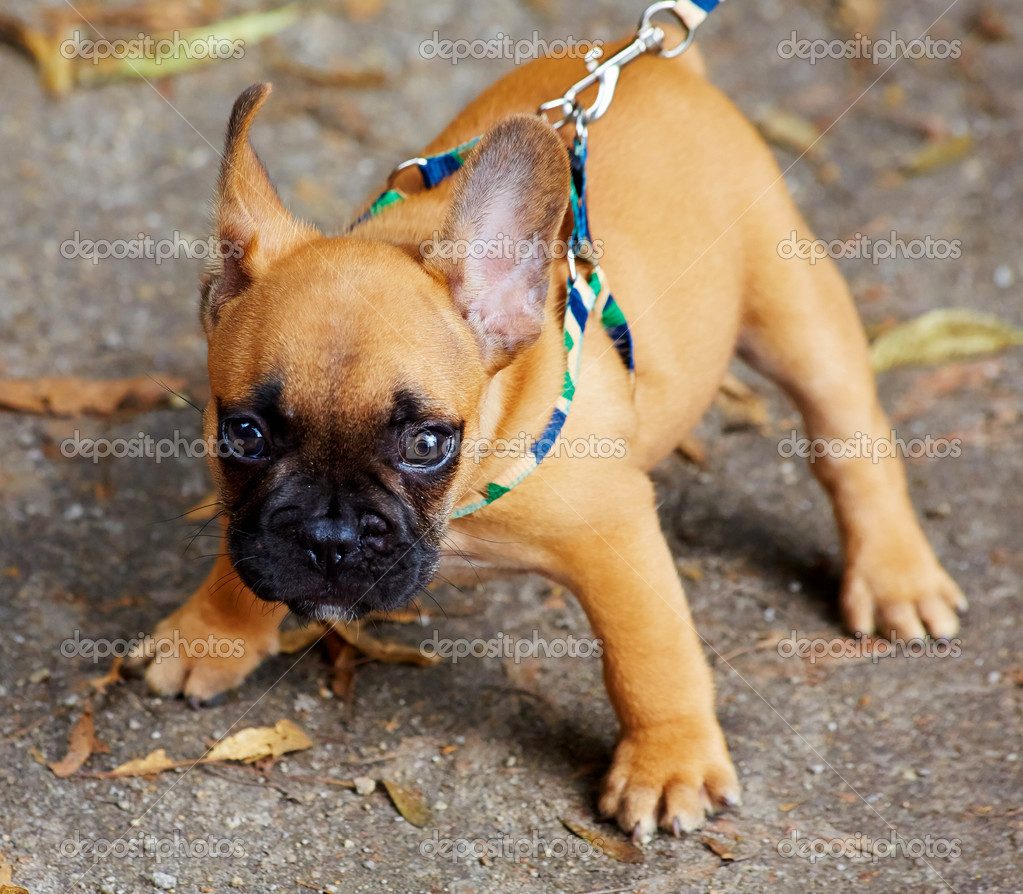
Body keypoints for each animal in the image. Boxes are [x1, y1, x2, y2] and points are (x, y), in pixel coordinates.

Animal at [123, 40, 961, 834]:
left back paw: (895, 577)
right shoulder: (253, 513)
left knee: (849, 440)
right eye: (244, 433)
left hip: (793, 309)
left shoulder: (615, 538)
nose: (331, 537)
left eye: (426, 444)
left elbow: (649, 655)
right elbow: (245, 549)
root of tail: (664, 66)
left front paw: (668, 764)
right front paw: (212, 633)